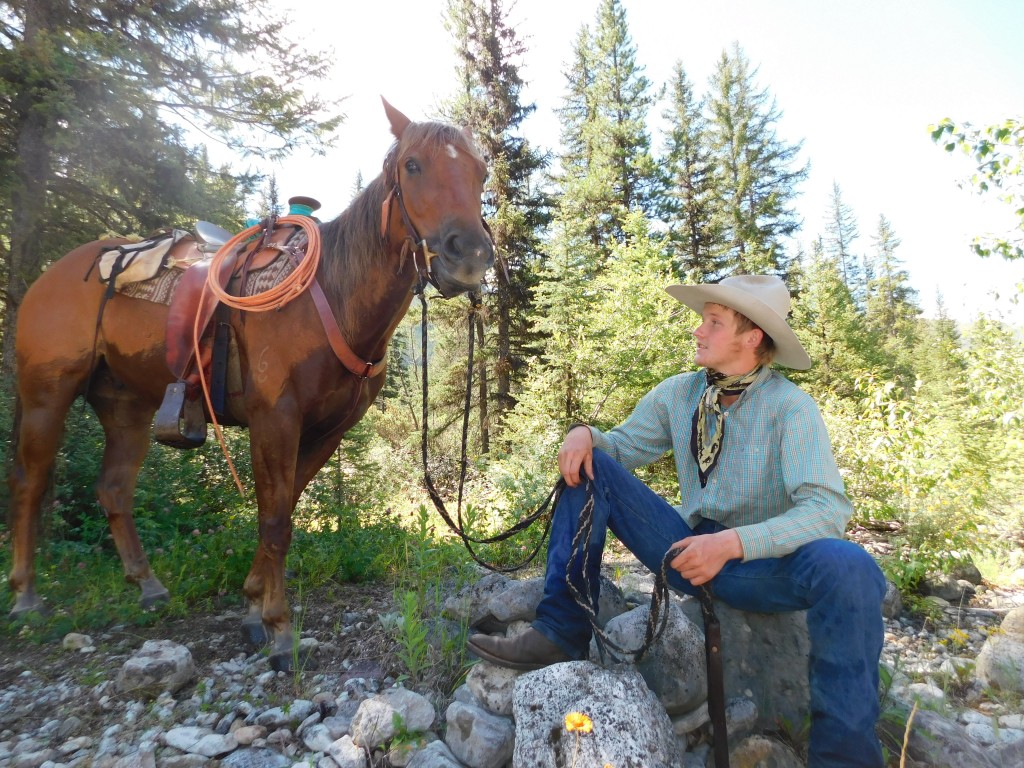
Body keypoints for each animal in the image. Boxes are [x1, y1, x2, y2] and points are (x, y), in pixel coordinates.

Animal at [4, 99, 491, 671]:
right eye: (413, 165)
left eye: (481, 172)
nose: (470, 256)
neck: (332, 294)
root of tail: (54, 272)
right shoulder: (275, 418)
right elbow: (276, 520)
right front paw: (279, 629)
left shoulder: (327, 431)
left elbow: (280, 512)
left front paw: (253, 607)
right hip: (46, 393)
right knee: (30, 482)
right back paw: (26, 597)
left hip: (126, 405)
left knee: (114, 488)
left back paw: (148, 586)